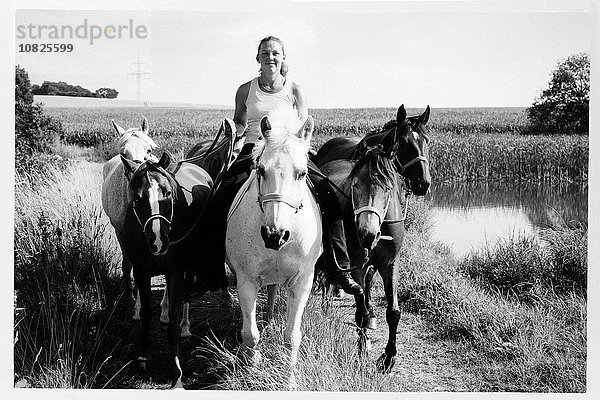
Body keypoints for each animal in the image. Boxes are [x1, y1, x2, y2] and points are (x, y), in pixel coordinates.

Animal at [225, 112, 322, 388]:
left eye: (302, 173)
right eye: (261, 170)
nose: (274, 235)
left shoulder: (301, 282)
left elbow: (292, 336)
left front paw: (289, 381)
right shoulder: (246, 281)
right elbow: (250, 333)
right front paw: (252, 370)